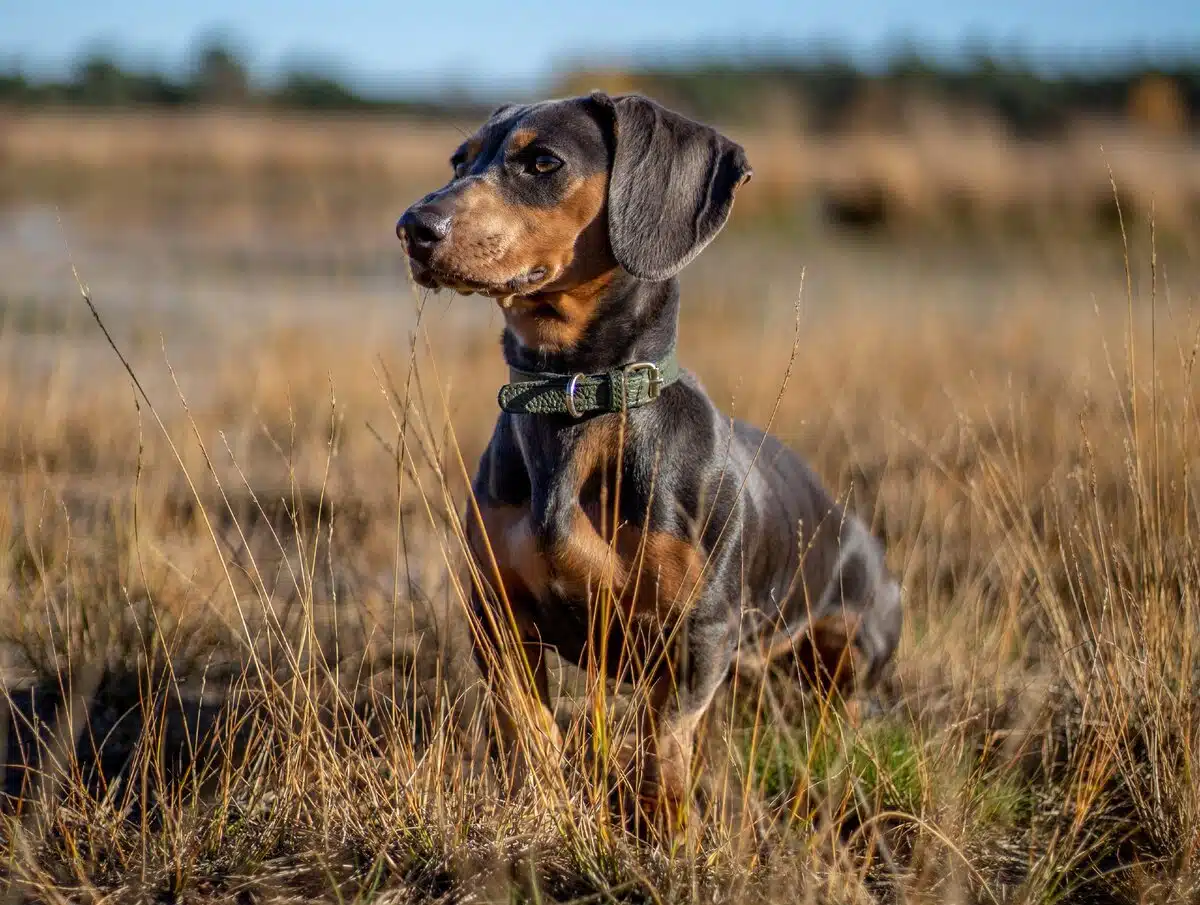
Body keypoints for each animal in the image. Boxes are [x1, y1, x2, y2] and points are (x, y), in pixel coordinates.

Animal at [398, 91, 902, 825]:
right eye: (459, 161)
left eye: (542, 161)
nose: (413, 227)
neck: (577, 399)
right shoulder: (496, 613)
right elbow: (531, 729)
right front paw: (544, 808)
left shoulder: (698, 636)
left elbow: (659, 745)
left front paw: (665, 832)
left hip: (853, 643)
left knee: (846, 708)